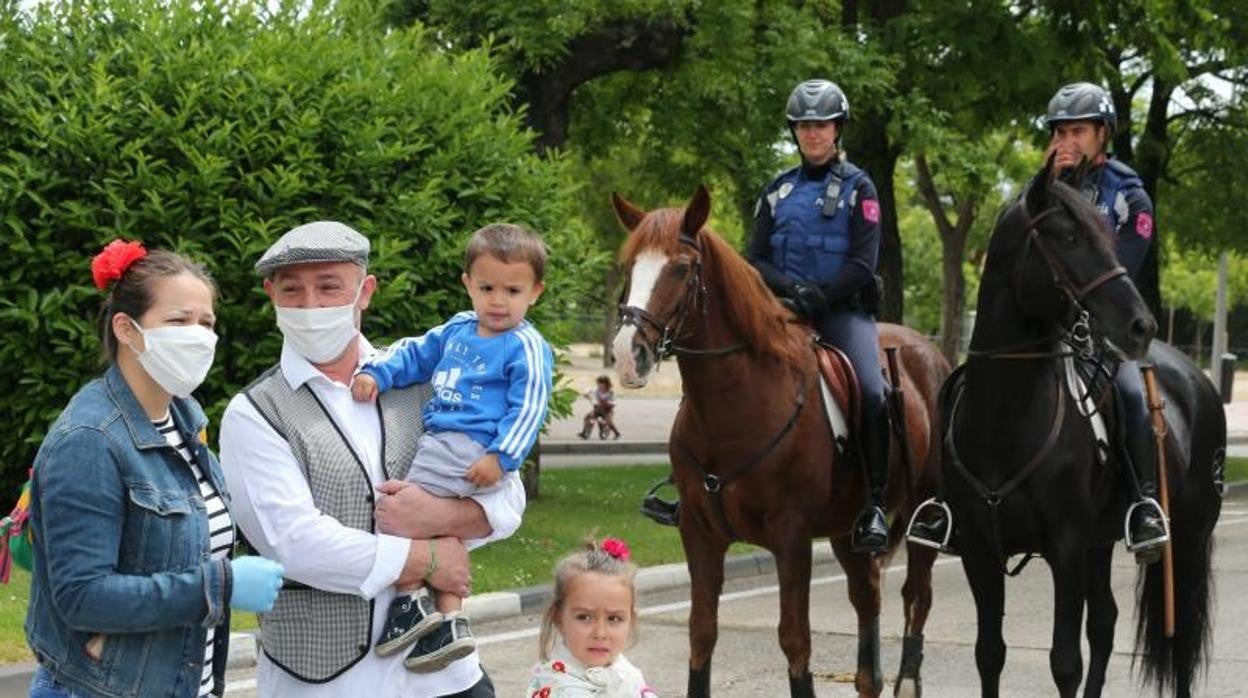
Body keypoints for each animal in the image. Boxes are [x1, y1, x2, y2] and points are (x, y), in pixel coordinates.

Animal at [611, 186, 943, 698]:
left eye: (682, 269)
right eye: (630, 267)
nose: (629, 356)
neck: (734, 407)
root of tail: (929, 352)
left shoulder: (792, 537)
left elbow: (795, 640)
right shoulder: (700, 535)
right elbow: (701, 632)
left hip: (924, 516)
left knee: (916, 597)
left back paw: (907, 681)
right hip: (848, 532)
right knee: (868, 599)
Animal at [938, 159, 1223, 698]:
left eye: (1109, 238)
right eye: (1069, 237)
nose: (1141, 325)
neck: (1004, 423)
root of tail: (1197, 378)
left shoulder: (1066, 547)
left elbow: (1064, 661)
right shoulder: (980, 551)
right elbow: (990, 654)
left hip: (1188, 538)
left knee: (1179, 643)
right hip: (1101, 542)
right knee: (1106, 623)